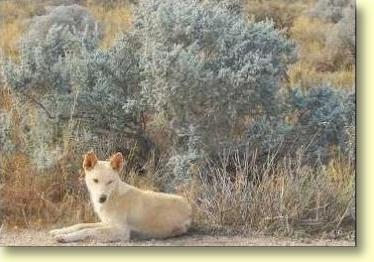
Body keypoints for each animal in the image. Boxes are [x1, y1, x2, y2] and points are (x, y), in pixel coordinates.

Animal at [49, 152, 191, 243]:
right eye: (95, 180)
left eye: (110, 182)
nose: (102, 198)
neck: (113, 197)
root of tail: (190, 207)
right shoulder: (106, 223)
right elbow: (81, 225)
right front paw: (59, 231)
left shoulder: (120, 231)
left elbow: (87, 230)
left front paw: (65, 237)